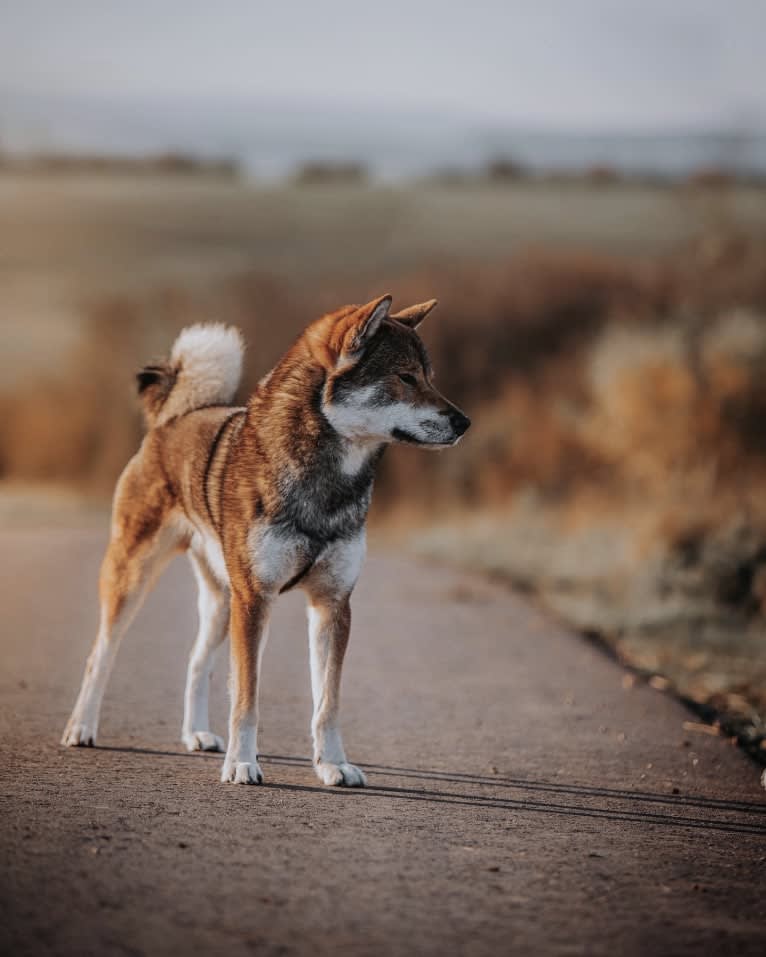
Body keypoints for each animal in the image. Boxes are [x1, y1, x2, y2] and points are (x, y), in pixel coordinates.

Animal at [63, 296, 472, 784]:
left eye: (430, 376)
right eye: (405, 377)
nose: (465, 422)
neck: (324, 482)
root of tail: (172, 419)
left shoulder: (332, 605)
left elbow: (327, 703)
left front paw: (332, 764)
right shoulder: (257, 600)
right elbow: (247, 698)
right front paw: (242, 763)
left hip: (223, 602)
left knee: (196, 662)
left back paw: (196, 734)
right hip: (135, 579)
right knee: (99, 655)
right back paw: (81, 727)